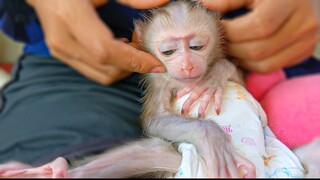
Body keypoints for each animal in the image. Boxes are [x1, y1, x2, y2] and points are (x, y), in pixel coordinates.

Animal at [0, 0, 255, 179]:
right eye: (168, 51)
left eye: (196, 46)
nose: (187, 65)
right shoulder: (158, 80)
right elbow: (154, 120)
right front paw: (212, 138)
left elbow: (239, 79)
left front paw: (213, 77)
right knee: (152, 150)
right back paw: (51, 169)